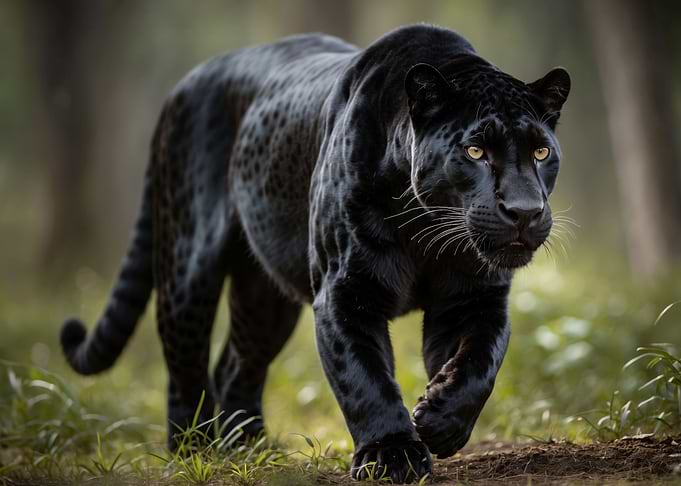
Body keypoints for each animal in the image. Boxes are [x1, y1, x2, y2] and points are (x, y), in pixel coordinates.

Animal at [60, 24, 570, 483]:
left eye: (541, 152)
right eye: (475, 150)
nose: (524, 212)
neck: (424, 231)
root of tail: (182, 87)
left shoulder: (475, 298)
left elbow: (480, 363)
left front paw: (439, 420)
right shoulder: (344, 293)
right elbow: (364, 379)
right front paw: (392, 457)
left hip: (265, 297)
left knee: (236, 367)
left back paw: (249, 449)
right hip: (188, 266)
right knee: (186, 367)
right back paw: (194, 451)